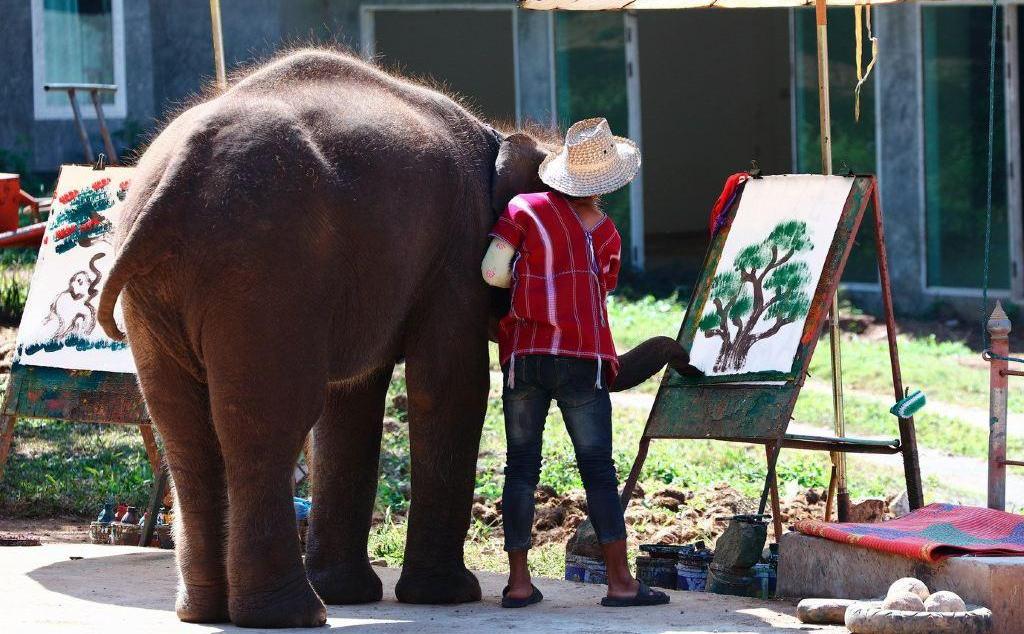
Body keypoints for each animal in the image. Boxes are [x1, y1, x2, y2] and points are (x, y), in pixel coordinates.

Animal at [97, 47, 696, 626]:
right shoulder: (455, 258)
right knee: (268, 420)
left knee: (185, 430)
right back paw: (292, 616)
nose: (689, 362)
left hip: (161, 294)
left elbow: (351, 403)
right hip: (262, 273)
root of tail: (175, 176)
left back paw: (205, 612)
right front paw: (448, 596)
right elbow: (450, 387)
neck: (499, 136)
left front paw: (352, 595)